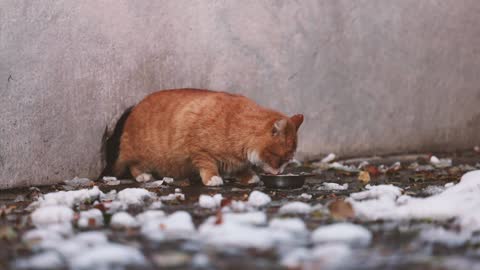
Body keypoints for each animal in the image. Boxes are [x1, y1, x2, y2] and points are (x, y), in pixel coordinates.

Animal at [102, 88, 302, 186]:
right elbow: (208, 165)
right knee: (133, 165)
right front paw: (213, 178)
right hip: (141, 153)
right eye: (280, 158)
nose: (280, 172)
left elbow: (241, 168)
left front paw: (249, 176)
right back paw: (143, 175)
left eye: (288, 160)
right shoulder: (199, 151)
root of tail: (132, 111)